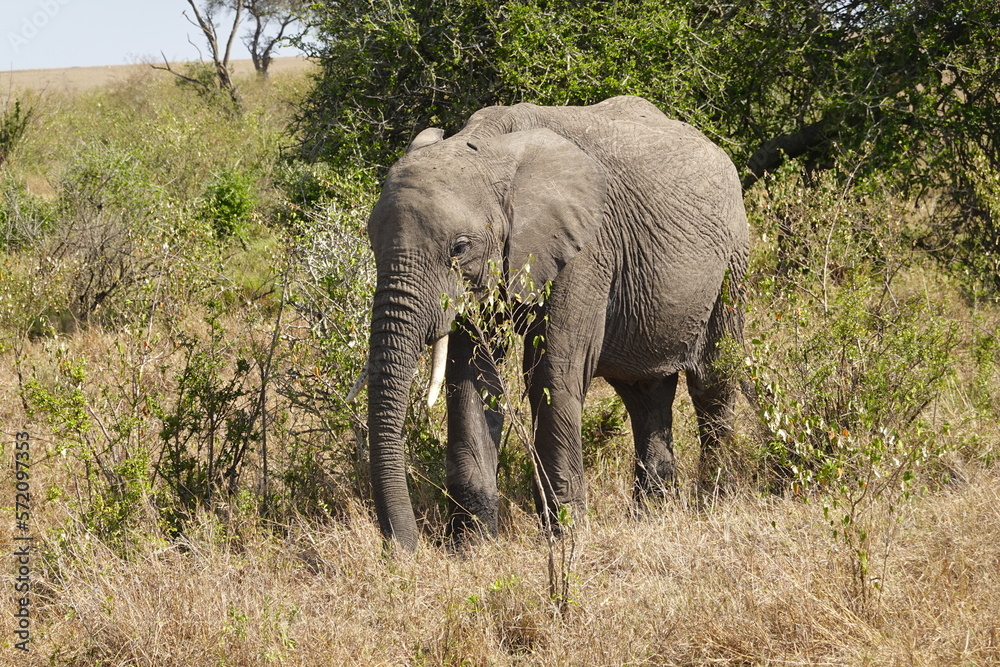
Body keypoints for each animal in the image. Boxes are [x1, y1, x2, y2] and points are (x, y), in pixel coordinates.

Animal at [362, 95, 749, 550]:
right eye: (371, 241)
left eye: (459, 248)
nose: (405, 549)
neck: (491, 146)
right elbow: (471, 375)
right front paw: (471, 547)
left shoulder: (586, 250)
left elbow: (552, 371)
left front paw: (567, 539)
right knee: (645, 394)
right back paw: (651, 517)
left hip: (732, 260)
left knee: (712, 379)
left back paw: (713, 499)